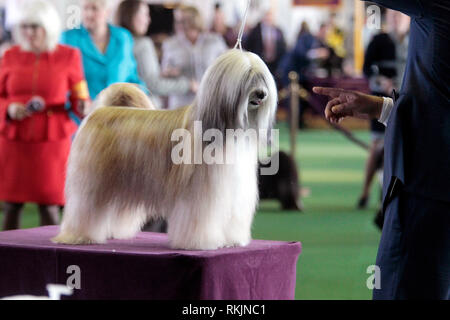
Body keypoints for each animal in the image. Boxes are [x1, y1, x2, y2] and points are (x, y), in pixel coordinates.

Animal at [52, 50, 278, 250]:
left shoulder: (233, 192)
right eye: (248, 76)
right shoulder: (200, 195)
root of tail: (101, 110)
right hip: (92, 181)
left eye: (261, 77)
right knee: (84, 207)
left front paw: (232, 240)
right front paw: (199, 243)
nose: (262, 94)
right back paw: (79, 235)